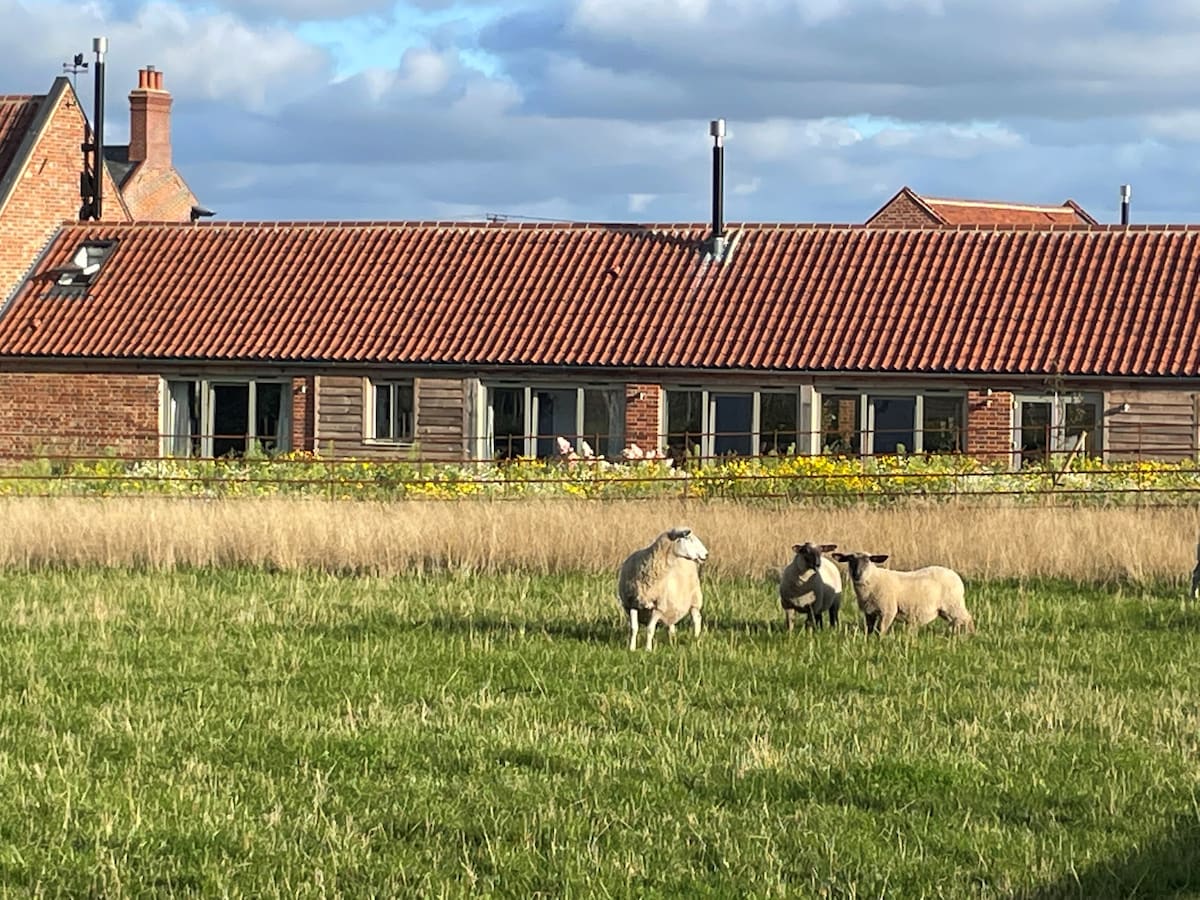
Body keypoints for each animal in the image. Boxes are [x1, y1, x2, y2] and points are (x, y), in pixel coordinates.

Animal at [835, 554, 974, 638]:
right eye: (850, 560)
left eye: (867, 561)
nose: (856, 574)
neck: (874, 579)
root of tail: (956, 577)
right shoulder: (870, 612)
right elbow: (870, 629)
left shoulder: (888, 610)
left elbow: (881, 629)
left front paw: (880, 641)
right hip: (946, 609)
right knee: (957, 621)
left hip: (953, 604)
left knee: (967, 619)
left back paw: (970, 635)